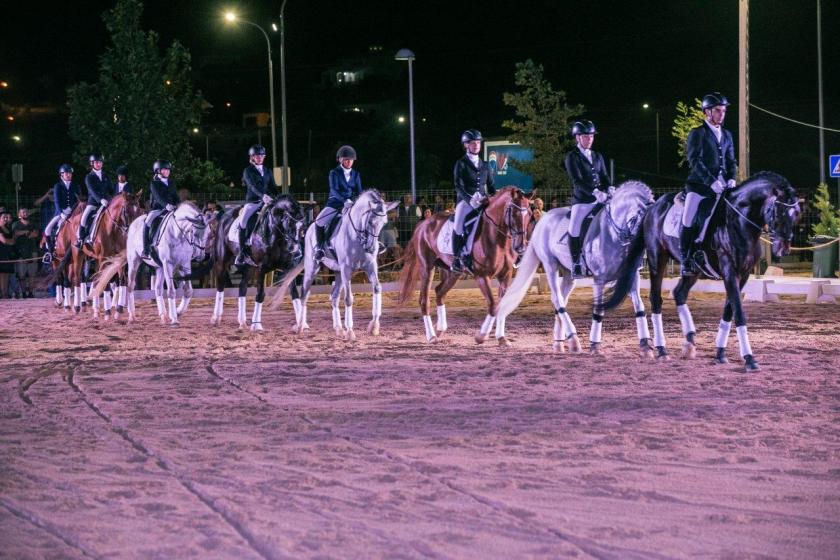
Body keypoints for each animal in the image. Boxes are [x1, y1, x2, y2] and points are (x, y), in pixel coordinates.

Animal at [210, 195, 306, 330]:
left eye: (302, 228)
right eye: (290, 223)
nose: (296, 251)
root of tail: (224, 216)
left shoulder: (288, 267)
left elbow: (294, 293)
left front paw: (302, 324)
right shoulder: (261, 268)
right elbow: (260, 294)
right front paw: (256, 325)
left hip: (249, 266)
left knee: (242, 287)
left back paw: (242, 321)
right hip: (222, 261)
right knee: (220, 285)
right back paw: (216, 318)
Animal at [272, 190, 398, 342]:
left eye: (383, 223)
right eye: (370, 221)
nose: (371, 248)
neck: (357, 237)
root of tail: (308, 230)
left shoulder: (370, 266)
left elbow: (377, 288)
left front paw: (373, 327)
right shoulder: (346, 269)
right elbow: (348, 298)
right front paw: (350, 331)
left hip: (338, 273)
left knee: (334, 296)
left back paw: (338, 329)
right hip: (312, 268)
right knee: (304, 295)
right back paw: (301, 326)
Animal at [398, 188, 532, 344]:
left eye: (529, 214)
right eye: (514, 212)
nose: (521, 247)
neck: (496, 238)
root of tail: (423, 224)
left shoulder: (505, 275)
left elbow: (502, 305)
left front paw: (502, 338)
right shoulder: (482, 276)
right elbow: (493, 305)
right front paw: (481, 336)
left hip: (452, 272)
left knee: (439, 292)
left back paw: (440, 329)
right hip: (427, 267)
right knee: (424, 301)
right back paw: (431, 336)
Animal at [492, 180, 656, 354]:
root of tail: (544, 219)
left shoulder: (632, 275)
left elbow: (639, 306)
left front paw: (646, 344)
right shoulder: (599, 278)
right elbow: (599, 310)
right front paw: (594, 345)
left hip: (569, 273)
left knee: (561, 300)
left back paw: (559, 343)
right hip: (550, 265)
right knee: (557, 298)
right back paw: (574, 340)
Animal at [604, 171, 800, 372]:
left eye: (796, 214)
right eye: (778, 211)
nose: (783, 248)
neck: (738, 222)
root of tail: (652, 207)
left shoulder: (743, 275)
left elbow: (729, 310)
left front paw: (720, 353)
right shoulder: (729, 271)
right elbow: (738, 312)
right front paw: (749, 358)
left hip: (693, 270)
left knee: (679, 293)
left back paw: (689, 342)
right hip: (657, 258)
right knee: (656, 298)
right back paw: (661, 349)